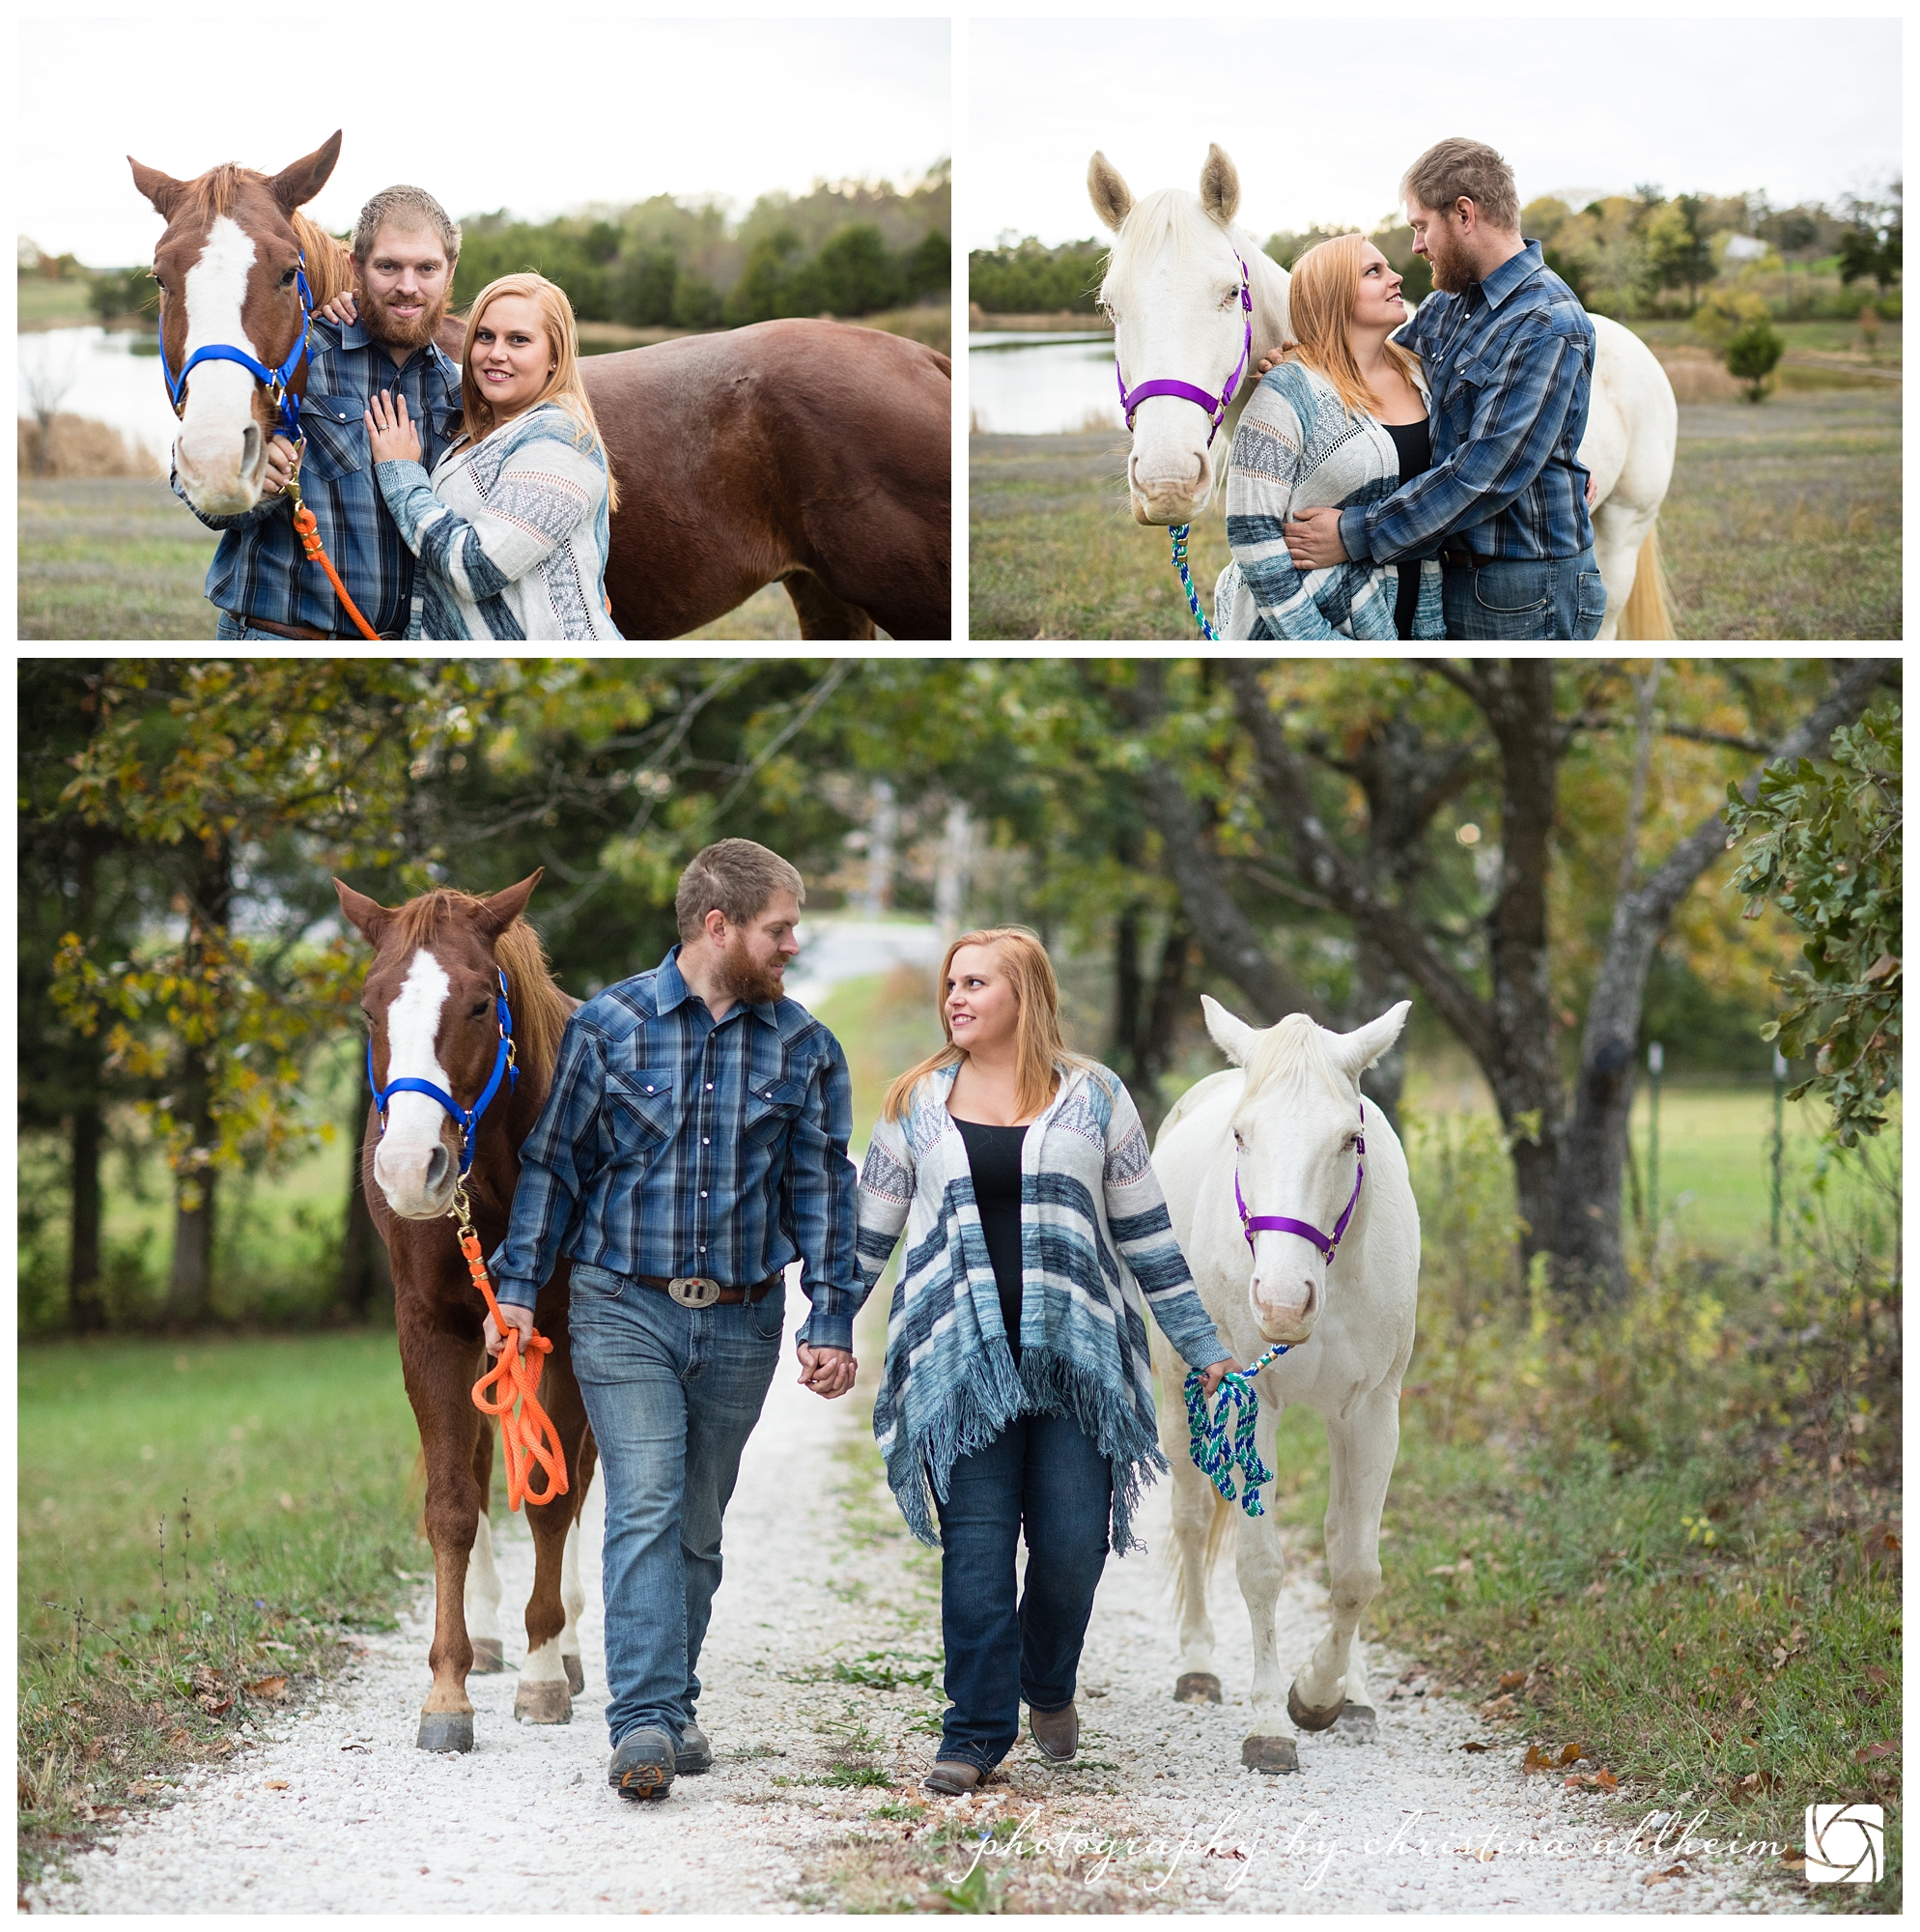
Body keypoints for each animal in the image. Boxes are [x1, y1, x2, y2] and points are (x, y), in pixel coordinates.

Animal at [332, 873, 595, 1754]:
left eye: (481, 1005)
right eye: (370, 1008)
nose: (412, 1168)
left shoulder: (565, 1336)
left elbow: (550, 1500)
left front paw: (545, 1673)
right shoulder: (433, 1332)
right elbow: (451, 1502)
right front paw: (446, 1689)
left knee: (580, 1480)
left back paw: (569, 1645)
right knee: (482, 1470)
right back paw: (482, 1638)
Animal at [1144, 1005, 1414, 1770]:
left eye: (1350, 1138)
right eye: (1242, 1134)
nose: (1283, 1304)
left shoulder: (1372, 1412)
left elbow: (1354, 1566)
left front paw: (1324, 1696)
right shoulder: (1251, 1403)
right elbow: (1260, 1566)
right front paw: (1270, 1721)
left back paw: (1354, 1693)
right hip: (1174, 1393)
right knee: (1191, 1518)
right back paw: (1198, 1666)